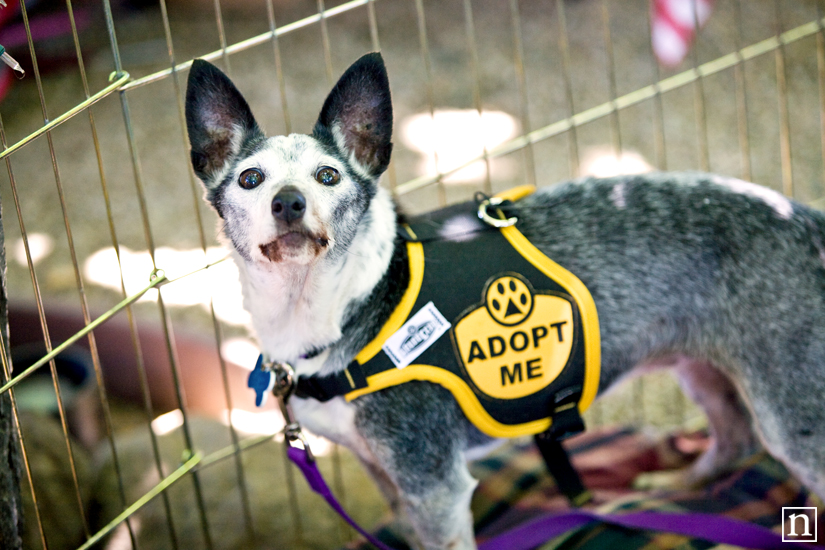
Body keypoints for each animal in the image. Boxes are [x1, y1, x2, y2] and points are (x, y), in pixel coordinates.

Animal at [185, 52, 824, 550]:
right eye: (249, 179)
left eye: (328, 176)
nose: (289, 202)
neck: (327, 308)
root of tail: (807, 219)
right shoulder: (388, 476)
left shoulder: (434, 484)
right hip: (703, 364)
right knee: (736, 438)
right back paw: (673, 486)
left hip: (790, 405)